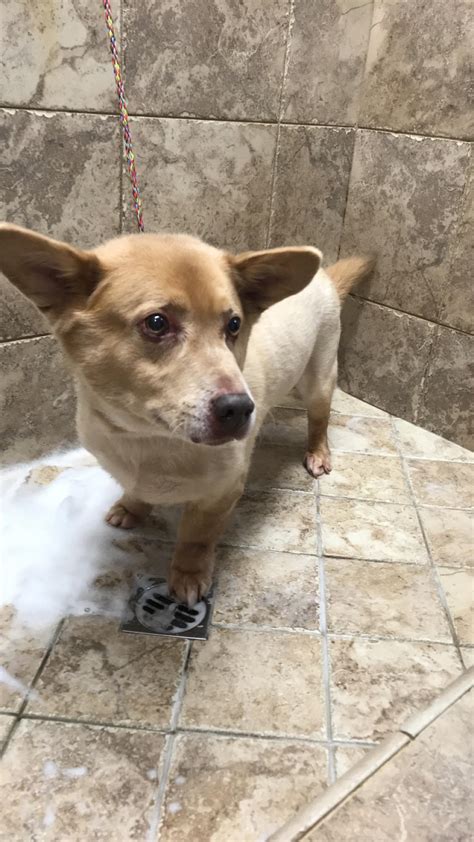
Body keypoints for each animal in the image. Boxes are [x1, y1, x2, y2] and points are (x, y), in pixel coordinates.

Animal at [0, 223, 370, 604]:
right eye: (157, 323)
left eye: (234, 325)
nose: (241, 408)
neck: (148, 438)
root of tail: (324, 276)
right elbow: (136, 492)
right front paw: (132, 507)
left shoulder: (220, 494)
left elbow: (196, 538)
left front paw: (188, 575)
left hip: (319, 379)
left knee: (319, 419)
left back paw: (317, 452)